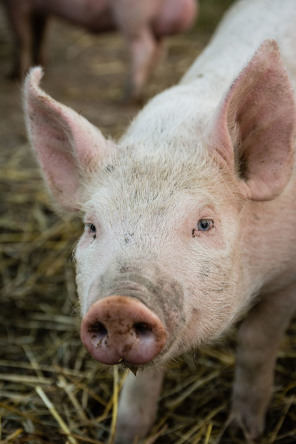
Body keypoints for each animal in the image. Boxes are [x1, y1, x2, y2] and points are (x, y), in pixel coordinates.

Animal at [1, 0, 199, 101]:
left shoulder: (16, 5)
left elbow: (22, 38)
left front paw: (15, 75)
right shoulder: (40, 10)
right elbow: (40, 34)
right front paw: (41, 63)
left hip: (132, 16)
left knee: (145, 48)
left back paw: (128, 95)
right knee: (159, 51)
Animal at [23, 0, 296, 442]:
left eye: (205, 224)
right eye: (91, 227)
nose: (119, 306)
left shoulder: (286, 279)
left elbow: (255, 346)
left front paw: (245, 431)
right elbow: (141, 382)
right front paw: (126, 435)